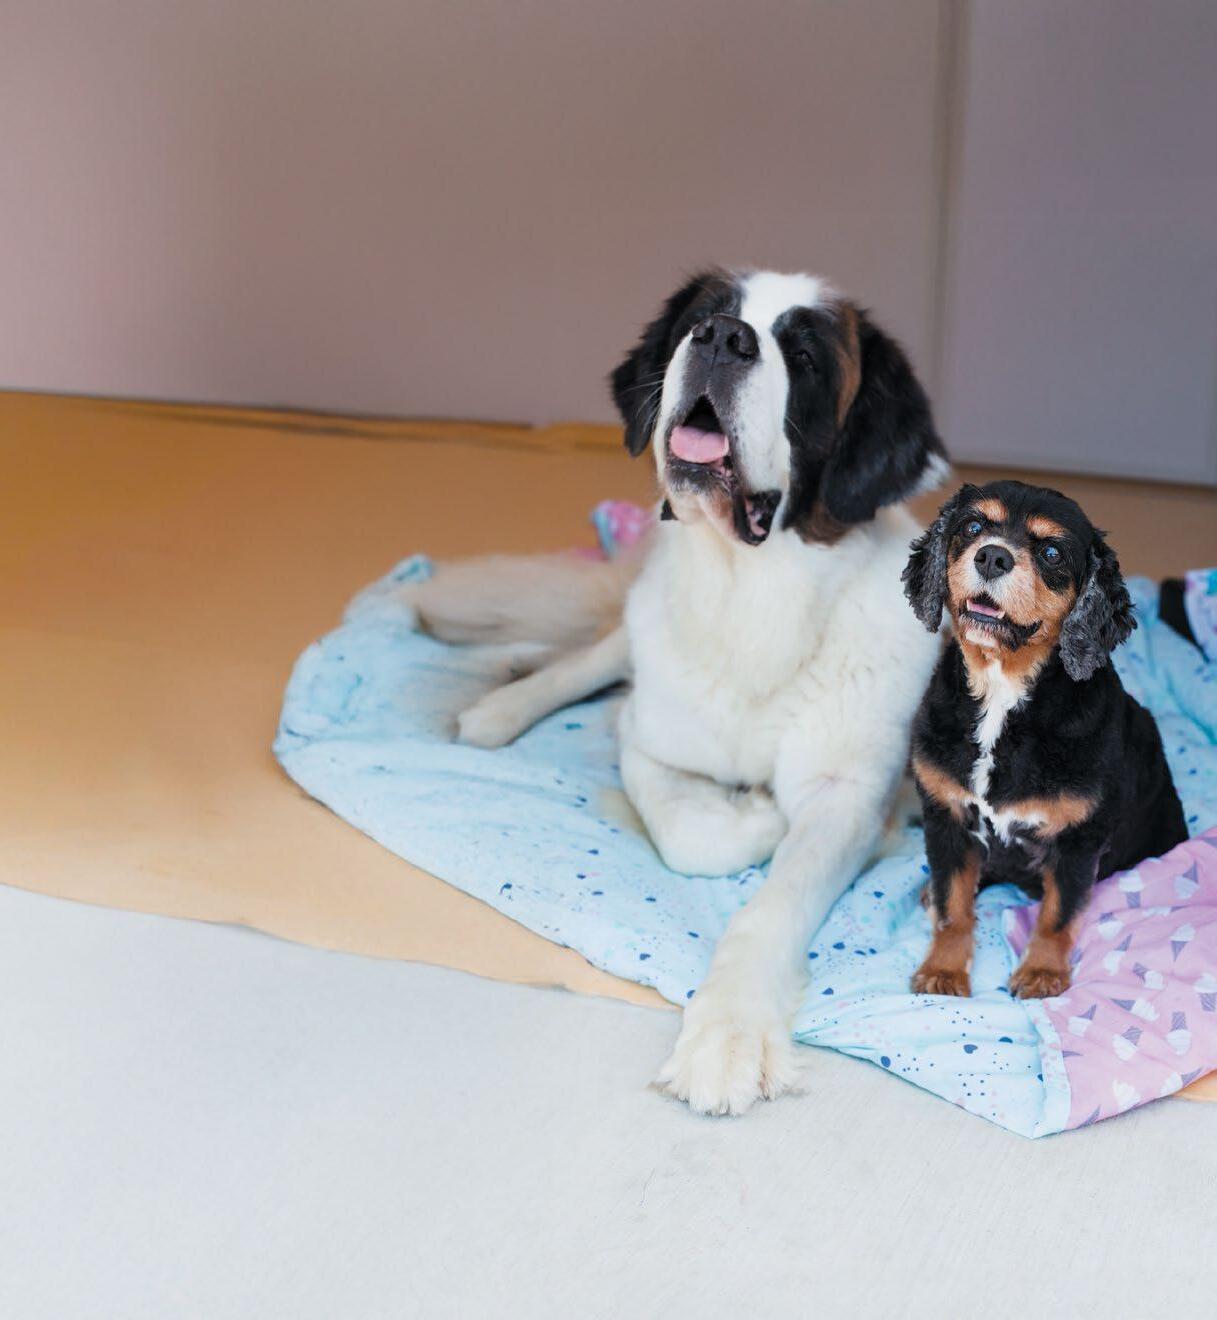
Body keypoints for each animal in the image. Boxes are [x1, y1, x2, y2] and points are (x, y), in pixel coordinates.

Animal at [409, 269, 948, 1114]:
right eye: (706, 315)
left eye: (804, 355)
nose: (723, 338)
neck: (749, 598)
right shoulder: (646, 740)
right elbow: (689, 835)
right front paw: (753, 815)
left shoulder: (845, 796)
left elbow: (771, 905)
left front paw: (729, 1033)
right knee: (596, 656)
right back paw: (501, 706)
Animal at [902, 480, 1188, 999]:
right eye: (973, 527)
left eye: (1052, 552)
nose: (992, 556)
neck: (1001, 694)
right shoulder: (946, 818)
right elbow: (953, 907)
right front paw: (943, 971)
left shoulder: (1078, 838)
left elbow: (1058, 914)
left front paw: (1042, 973)